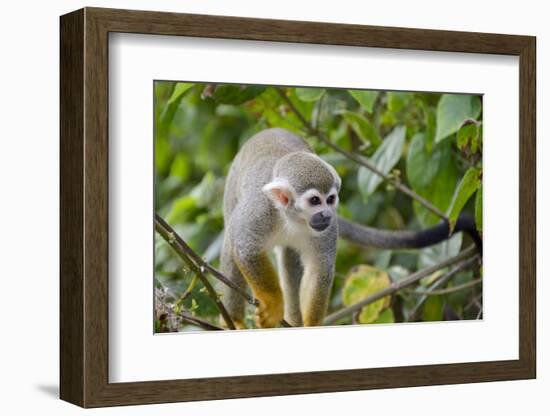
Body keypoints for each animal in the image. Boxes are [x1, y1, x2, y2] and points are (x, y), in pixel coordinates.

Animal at [220, 127, 484, 328]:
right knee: (231, 238)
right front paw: (273, 304)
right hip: (232, 190)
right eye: (314, 201)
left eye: (331, 199)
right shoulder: (259, 211)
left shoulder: (328, 229)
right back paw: (234, 321)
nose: (327, 214)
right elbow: (244, 247)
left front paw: (310, 326)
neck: (292, 218)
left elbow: (319, 269)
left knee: (290, 259)